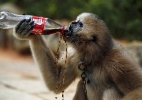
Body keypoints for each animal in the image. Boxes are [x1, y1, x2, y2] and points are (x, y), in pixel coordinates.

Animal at [13, 12, 142, 99]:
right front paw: (30, 32)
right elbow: (56, 82)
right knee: (81, 84)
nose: (71, 23)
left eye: (79, 24)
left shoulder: (118, 60)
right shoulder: (74, 56)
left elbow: (137, 89)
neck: (96, 56)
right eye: (76, 21)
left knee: (111, 91)